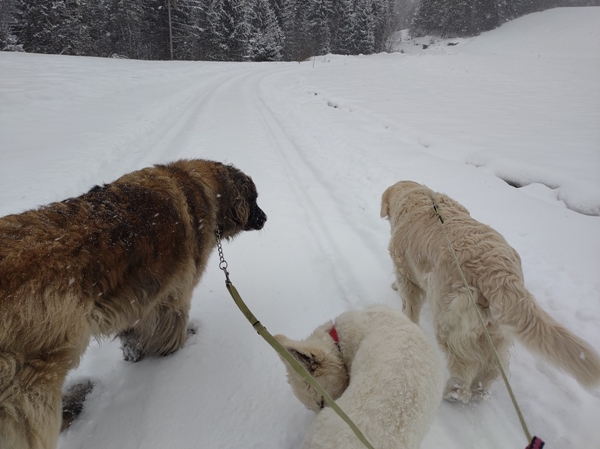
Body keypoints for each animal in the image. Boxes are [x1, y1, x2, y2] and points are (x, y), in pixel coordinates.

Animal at [0, 159, 268, 448]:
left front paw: (134, 351)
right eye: (254, 199)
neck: (200, 187)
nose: (265, 218)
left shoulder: (138, 299)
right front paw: (175, 347)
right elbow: (171, 326)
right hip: (35, 381)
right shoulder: (174, 293)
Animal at [380, 180, 600, 400]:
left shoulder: (406, 273)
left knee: (464, 365)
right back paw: (480, 390)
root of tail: (499, 273)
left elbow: (409, 305)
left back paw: (453, 392)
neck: (418, 198)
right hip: (496, 329)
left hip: (449, 318)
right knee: (493, 365)